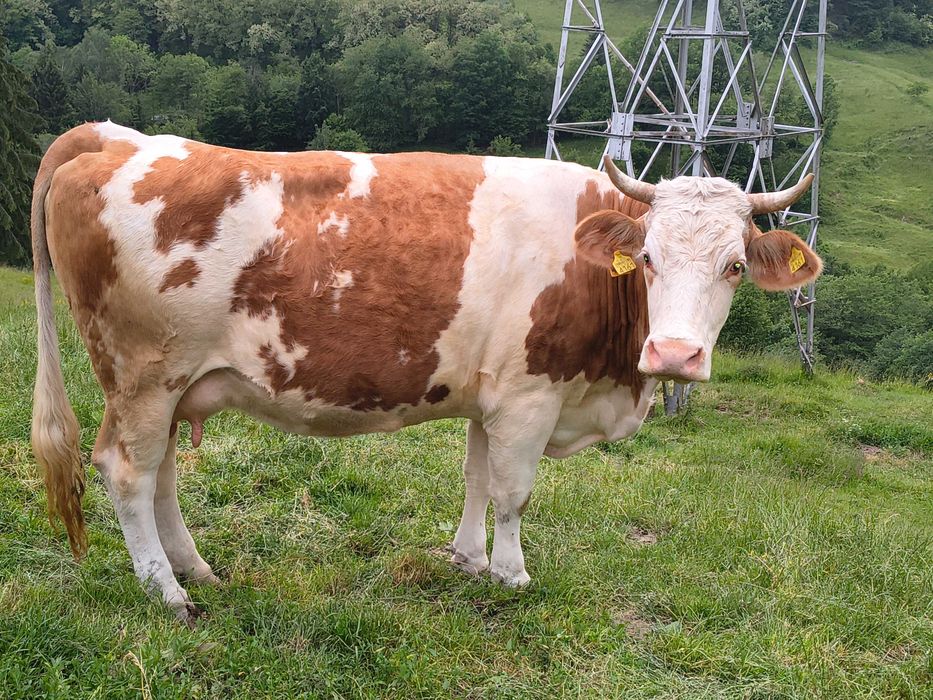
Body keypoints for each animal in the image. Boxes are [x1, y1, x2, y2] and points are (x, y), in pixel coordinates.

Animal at [31, 122, 821, 623]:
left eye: (734, 266)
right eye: (649, 257)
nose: (676, 355)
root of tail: (118, 136)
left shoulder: (491, 396)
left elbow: (476, 478)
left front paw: (467, 559)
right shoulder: (530, 396)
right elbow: (513, 492)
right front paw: (511, 574)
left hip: (172, 384)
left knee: (159, 473)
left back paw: (193, 567)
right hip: (143, 373)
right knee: (128, 472)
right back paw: (166, 591)